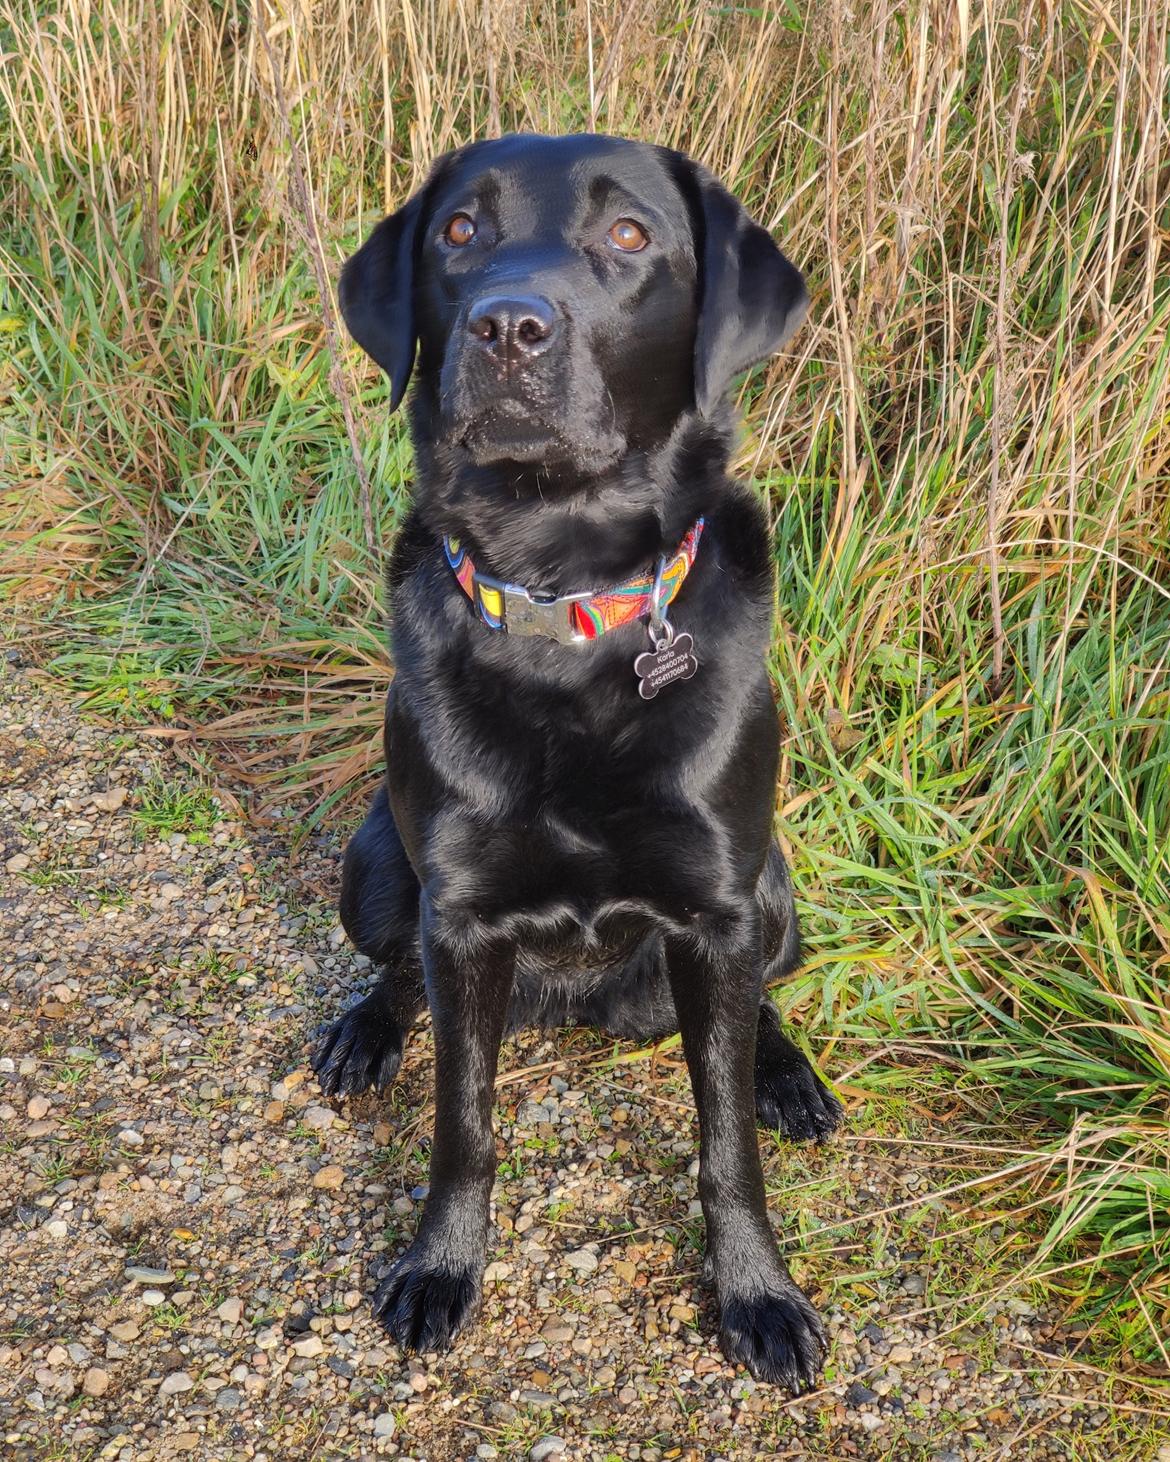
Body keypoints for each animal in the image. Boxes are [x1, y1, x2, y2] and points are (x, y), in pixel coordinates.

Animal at [310, 131, 842, 1385]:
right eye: (460, 230)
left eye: (631, 235)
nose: (507, 326)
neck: (564, 601)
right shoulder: (458, 914)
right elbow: (463, 1123)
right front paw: (440, 1266)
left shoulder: (718, 911)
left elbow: (724, 1142)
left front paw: (758, 1293)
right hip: (372, 863)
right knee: (396, 970)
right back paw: (365, 1032)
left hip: (773, 891)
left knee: (762, 1006)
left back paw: (787, 1075)